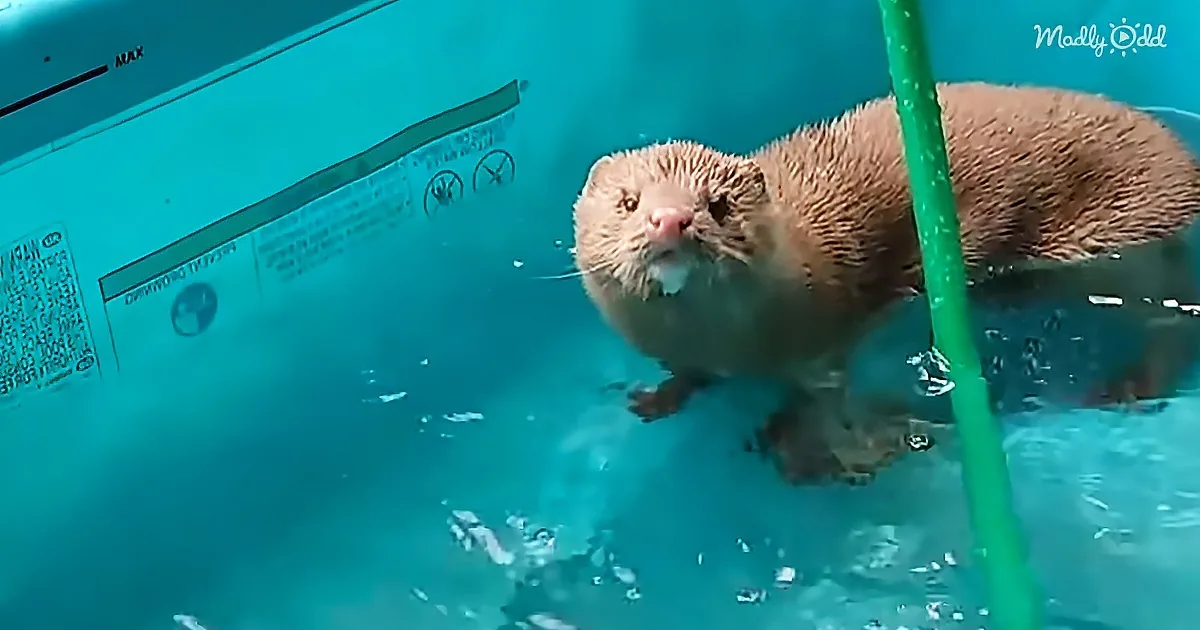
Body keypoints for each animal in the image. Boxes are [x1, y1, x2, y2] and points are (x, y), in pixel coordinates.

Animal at [572, 82, 1200, 484]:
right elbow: (687, 375)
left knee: (1170, 316)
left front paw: (795, 439)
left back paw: (1129, 385)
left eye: (718, 204)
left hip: (1116, 244)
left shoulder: (821, 341)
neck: (734, 346)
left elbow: (822, 395)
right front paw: (657, 397)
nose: (671, 220)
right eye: (629, 202)